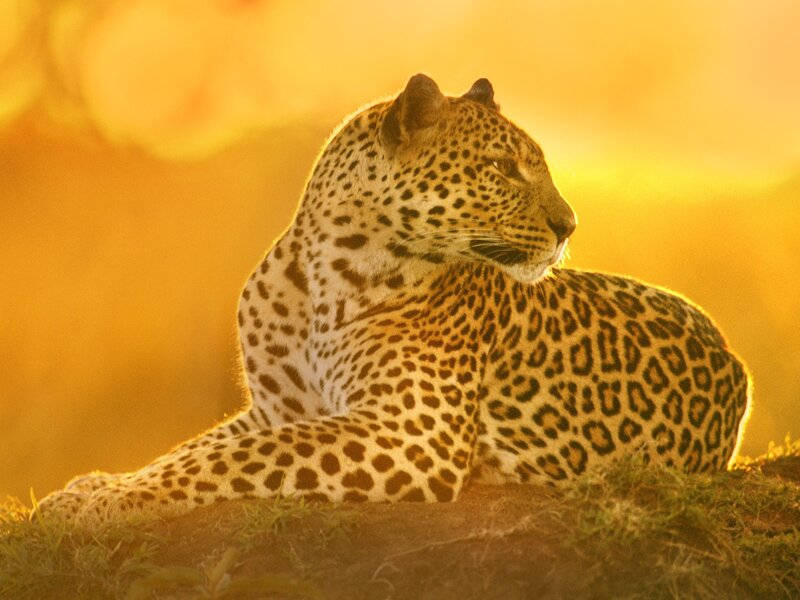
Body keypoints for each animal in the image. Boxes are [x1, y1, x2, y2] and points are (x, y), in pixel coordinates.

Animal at [37, 74, 751, 524]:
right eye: (502, 169)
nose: (569, 225)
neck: (320, 277)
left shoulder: (410, 431)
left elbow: (231, 457)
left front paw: (102, 504)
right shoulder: (276, 409)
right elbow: (193, 449)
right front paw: (94, 487)